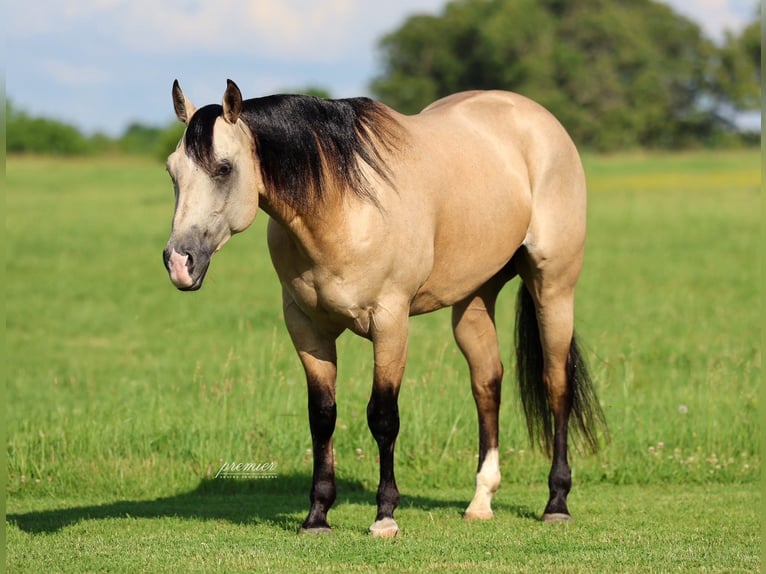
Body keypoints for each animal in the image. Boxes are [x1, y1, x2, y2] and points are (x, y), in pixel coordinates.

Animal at [162, 79, 606, 538]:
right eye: (172, 171)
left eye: (224, 168)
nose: (179, 262)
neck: (342, 206)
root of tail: (536, 118)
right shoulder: (307, 327)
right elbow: (322, 416)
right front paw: (317, 515)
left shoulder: (390, 323)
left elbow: (383, 417)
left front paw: (385, 516)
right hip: (474, 300)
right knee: (487, 384)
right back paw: (481, 500)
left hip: (554, 289)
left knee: (557, 384)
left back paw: (556, 501)